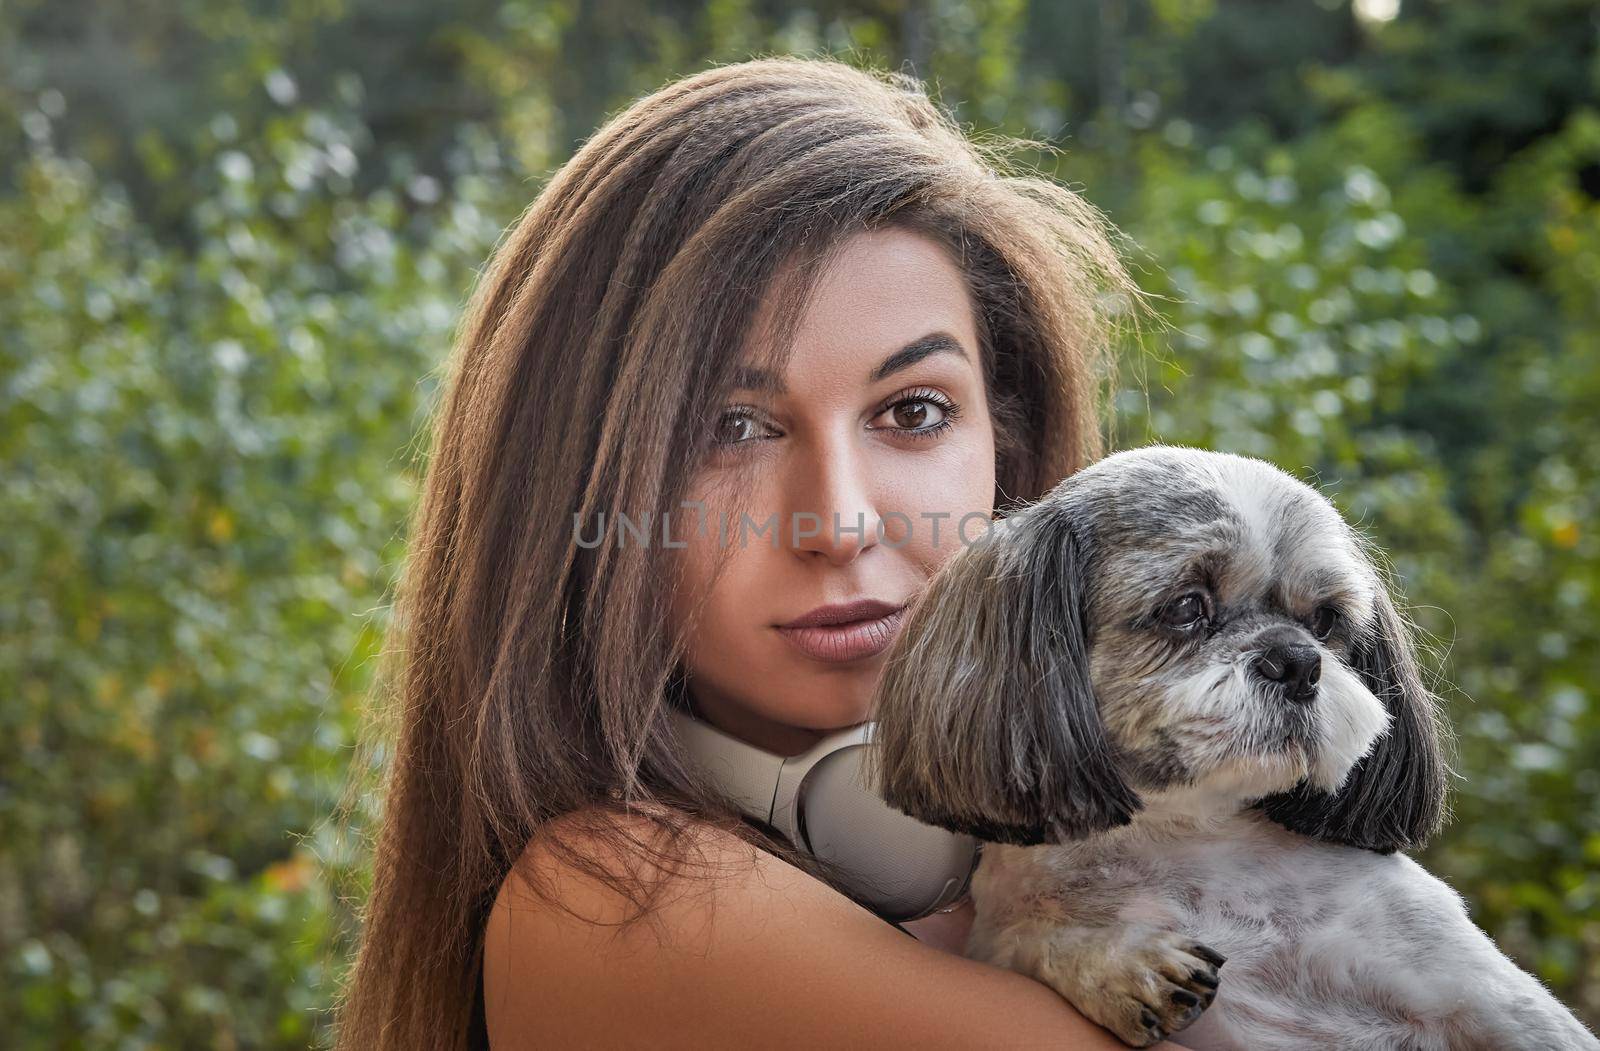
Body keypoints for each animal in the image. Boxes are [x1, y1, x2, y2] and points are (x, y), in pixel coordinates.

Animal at [870, 444, 1593, 1049]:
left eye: (1325, 621)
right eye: (1187, 607)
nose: (1297, 662)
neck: (1194, 838)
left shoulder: (1474, 989)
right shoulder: (999, 931)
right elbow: (1033, 937)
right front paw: (1123, 965)